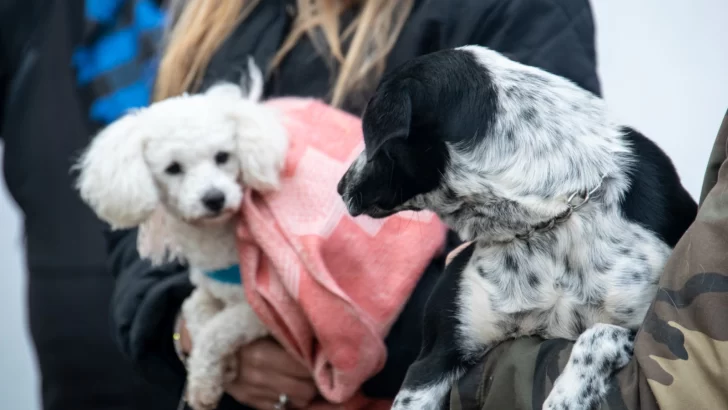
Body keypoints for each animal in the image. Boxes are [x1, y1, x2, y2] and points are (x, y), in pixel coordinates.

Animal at [74, 60, 288, 410]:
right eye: (173, 168)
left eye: (223, 156)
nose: (214, 198)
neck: (219, 246)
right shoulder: (206, 290)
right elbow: (195, 313)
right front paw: (213, 375)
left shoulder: (270, 315)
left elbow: (217, 330)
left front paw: (207, 378)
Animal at [338, 44, 696, 410]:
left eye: (370, 138)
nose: (340, 186)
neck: (549, 224)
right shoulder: (434, 358)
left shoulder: (652, 333)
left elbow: (597, 335)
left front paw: (567, 396)